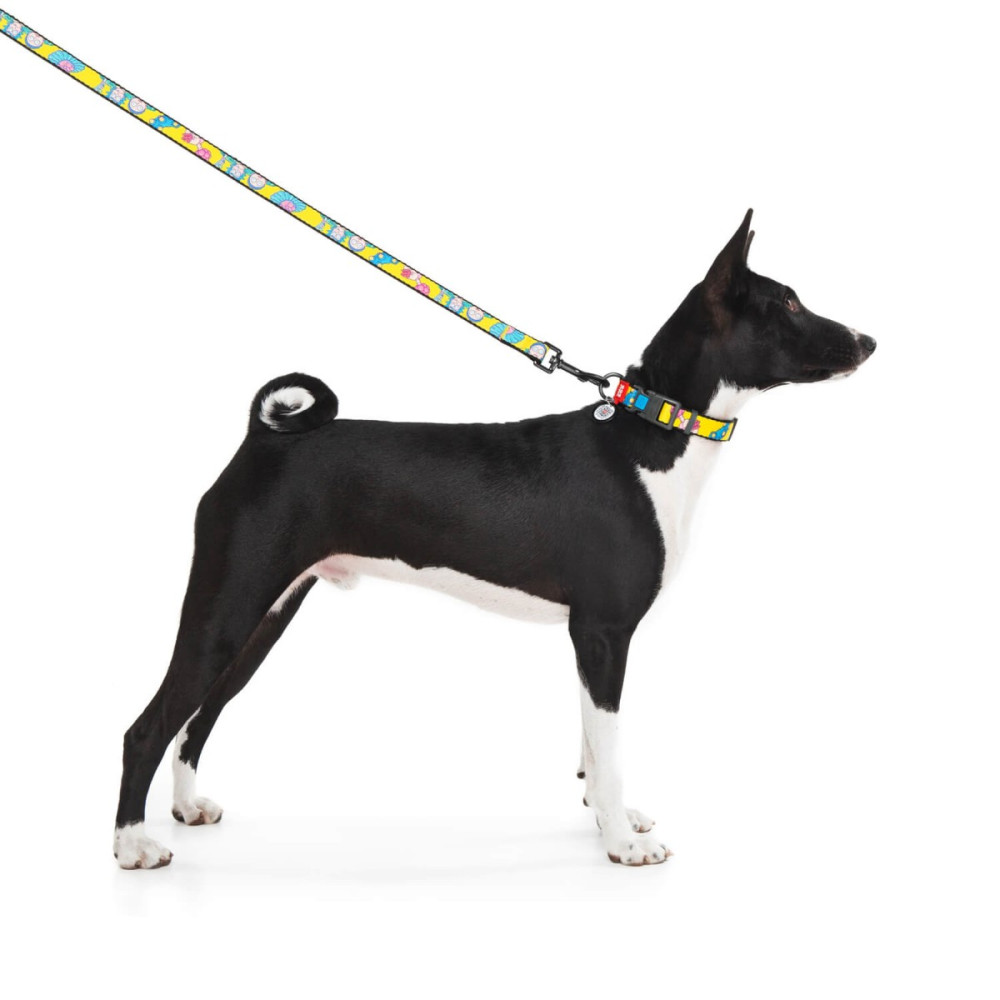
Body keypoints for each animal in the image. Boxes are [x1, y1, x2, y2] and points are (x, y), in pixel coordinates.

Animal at [113, 210, 875, 869]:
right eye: (790, 304)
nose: (868, 341)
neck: (651, 433)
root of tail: (263, 437)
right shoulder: (605, 631)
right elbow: (610, 748)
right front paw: (623, 843)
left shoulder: (585, 636)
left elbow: (591, 750)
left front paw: (609, 819)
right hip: (228, 605)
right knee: (148, 726)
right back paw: (133, 846)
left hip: (264, 614)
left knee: (198, 719)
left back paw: (186, 809)